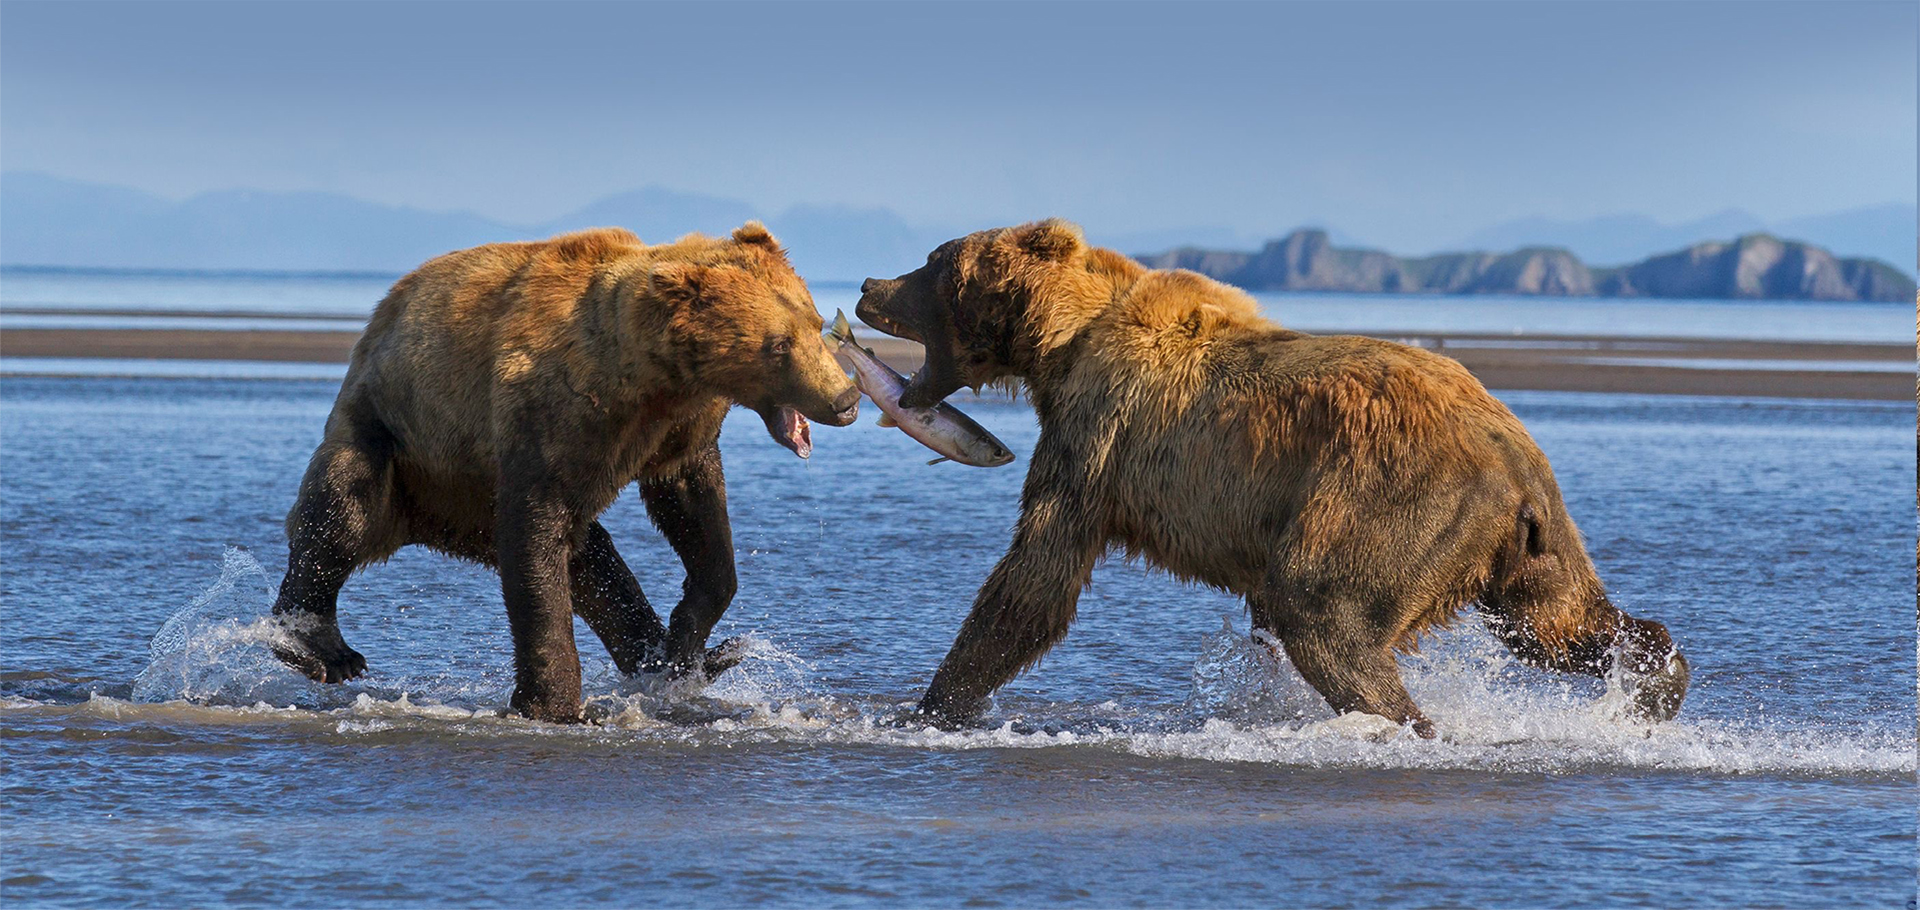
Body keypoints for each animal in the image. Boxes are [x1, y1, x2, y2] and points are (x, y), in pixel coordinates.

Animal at [270, 223, 859, 723]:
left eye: (815, 324)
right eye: (778, 344)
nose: (846, 398)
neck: (652, 377)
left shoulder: (679, 426)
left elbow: (696, 513)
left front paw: (685, 637)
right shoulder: (557, 415)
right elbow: (538, 526)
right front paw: (554, 704)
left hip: (467, 500)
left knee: (593, 563)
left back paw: (671, 659)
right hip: (396, 436)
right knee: (341, 514)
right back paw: (321, 648)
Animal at [857, 219, 1689, 737]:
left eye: (932, 263)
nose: (867, 283)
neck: (1060, 342)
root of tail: (1514, 457)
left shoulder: (1096, 436)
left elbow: (1036, 578)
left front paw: (929, 705)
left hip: (1393, 496)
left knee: (1325, 611)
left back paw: (1399, 719)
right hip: (1527, 543)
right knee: (1557, 625)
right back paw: (1655, 683)